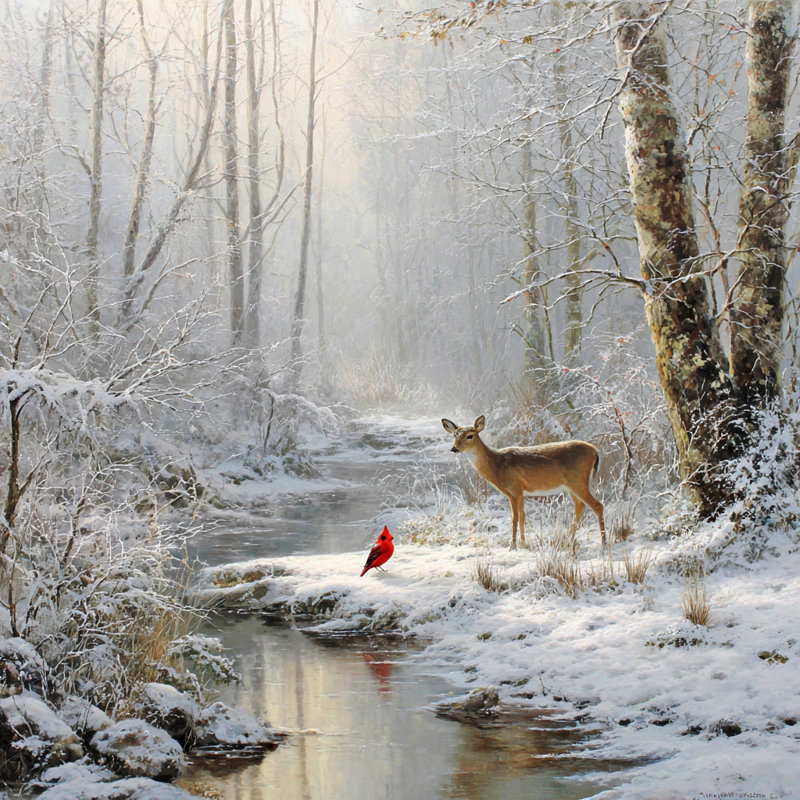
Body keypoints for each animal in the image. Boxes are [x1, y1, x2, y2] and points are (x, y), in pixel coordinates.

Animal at [442, 415, 606, 550]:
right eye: (455, 435)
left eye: (470, 435)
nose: (454, 448)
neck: (496, 465)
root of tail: (595, 451)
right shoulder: (518, 492)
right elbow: (522, 516)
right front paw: (522, 543)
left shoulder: (514, 489)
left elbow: (515, 517)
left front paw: (513, 545)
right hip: (571, 486)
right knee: (580, 506)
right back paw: (568, 540)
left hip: (578, 482)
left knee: (597, 505)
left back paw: (603, 542)